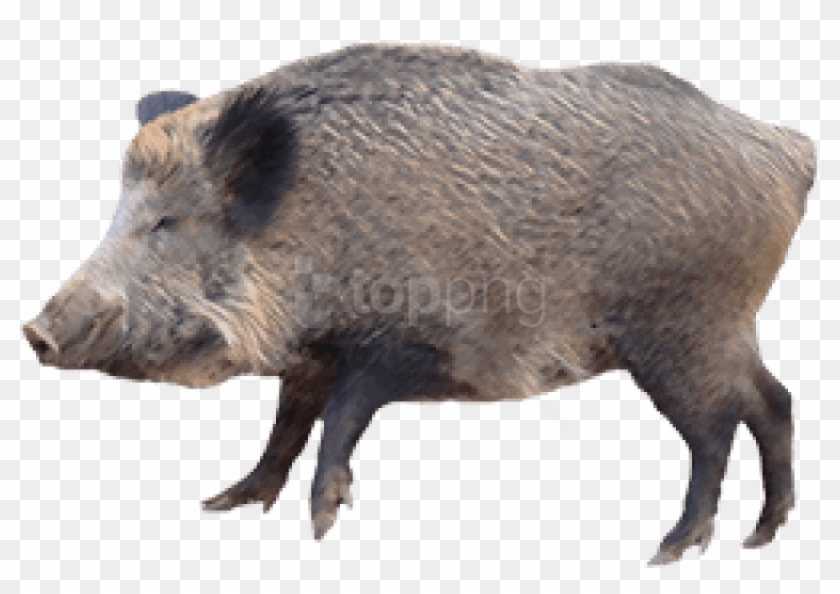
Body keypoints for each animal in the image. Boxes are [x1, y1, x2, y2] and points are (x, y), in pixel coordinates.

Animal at [22, 43, 816, 564]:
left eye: (167, 222)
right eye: (121, 212)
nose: (35, 330)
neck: (312, 232)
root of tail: (788, 150)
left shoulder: (415, 344)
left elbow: (341, 416)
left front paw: (321, 525)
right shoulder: (312, 356)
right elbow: (286, 425)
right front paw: (227, 503)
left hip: (678, 332)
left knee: (716, 429)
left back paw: (671, 551)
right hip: (722, 331)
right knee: (773, 400)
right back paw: (761, 536)